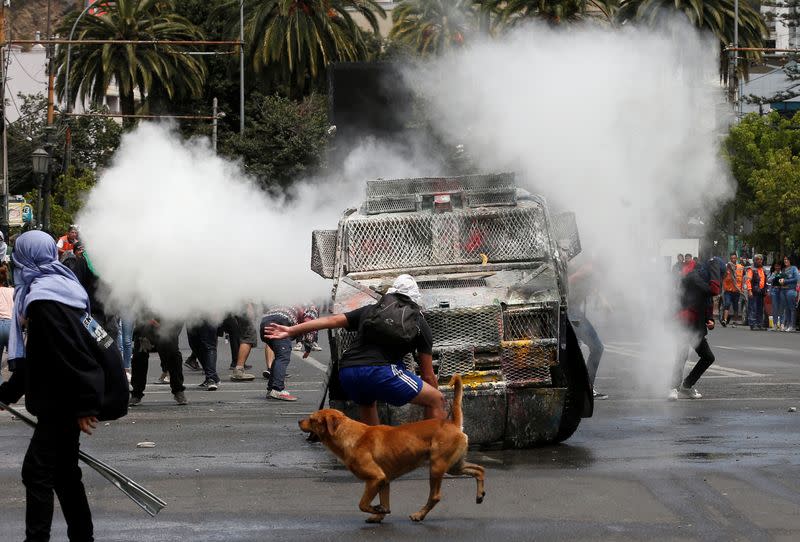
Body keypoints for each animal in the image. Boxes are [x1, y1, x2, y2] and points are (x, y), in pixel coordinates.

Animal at [300, 376, 488, 524]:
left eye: (312, 419)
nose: (298, 421)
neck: (348, 433)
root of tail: (452, 423)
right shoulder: (383, 481)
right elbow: (384, 502)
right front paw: (379, 514)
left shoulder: (375, 478)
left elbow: (363, 504)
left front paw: (377, 510)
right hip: (453, 466)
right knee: (479, 469)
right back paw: (479, 494)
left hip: (437, 466)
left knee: (435, 496)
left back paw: (419, 514)